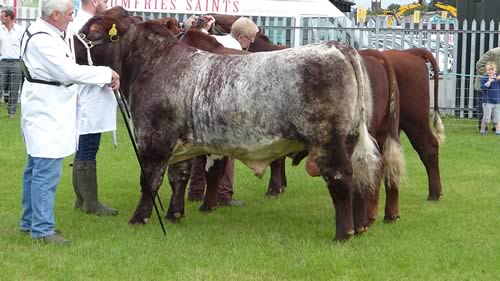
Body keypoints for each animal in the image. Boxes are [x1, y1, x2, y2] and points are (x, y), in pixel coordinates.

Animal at [74, 8, 378, 241]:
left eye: (92, 30)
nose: (70, 46)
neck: (153, 65)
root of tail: (337, 47)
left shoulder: (154, 139)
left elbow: (150, 180)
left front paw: (139, 219)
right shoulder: (181, 146)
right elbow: (178, 178)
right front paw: (174, 215)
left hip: (328, 141)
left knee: (340, 177)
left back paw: (343, 233)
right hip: (350, 139)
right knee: (360, 176)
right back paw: (361, 226)